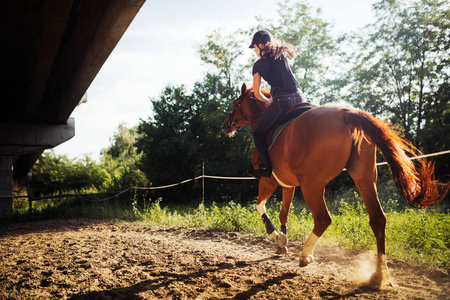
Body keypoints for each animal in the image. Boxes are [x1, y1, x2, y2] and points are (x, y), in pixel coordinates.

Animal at [223, 82, 448, 288]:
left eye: (235, 104)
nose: (226, 126)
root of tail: (347, 113)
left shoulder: (268, 181)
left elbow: (260, 207)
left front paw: (277, 237)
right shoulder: (288, 184)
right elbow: (283, 213)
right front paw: (281, 243)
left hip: (312, 185)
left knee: (323, 218)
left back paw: (305, 255)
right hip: (364, 178)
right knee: (378, 219)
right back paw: (379, 275)